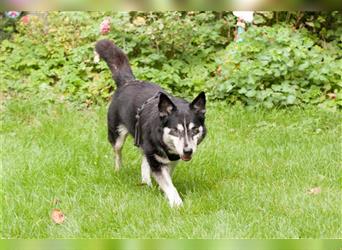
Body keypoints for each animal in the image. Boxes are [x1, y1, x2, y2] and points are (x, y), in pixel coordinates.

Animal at [94, 39, 206, 207]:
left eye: (194, 130)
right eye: (175, 130)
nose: (188, 151)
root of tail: (129, 81)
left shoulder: (171, 158)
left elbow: (167, 177)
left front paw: (163, 192)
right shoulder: (156, 159)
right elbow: (168, 184)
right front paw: (176, 203)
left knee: (143, 163)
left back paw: (146, 183)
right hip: (117, 135)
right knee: (118, 153)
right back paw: (118, 170)